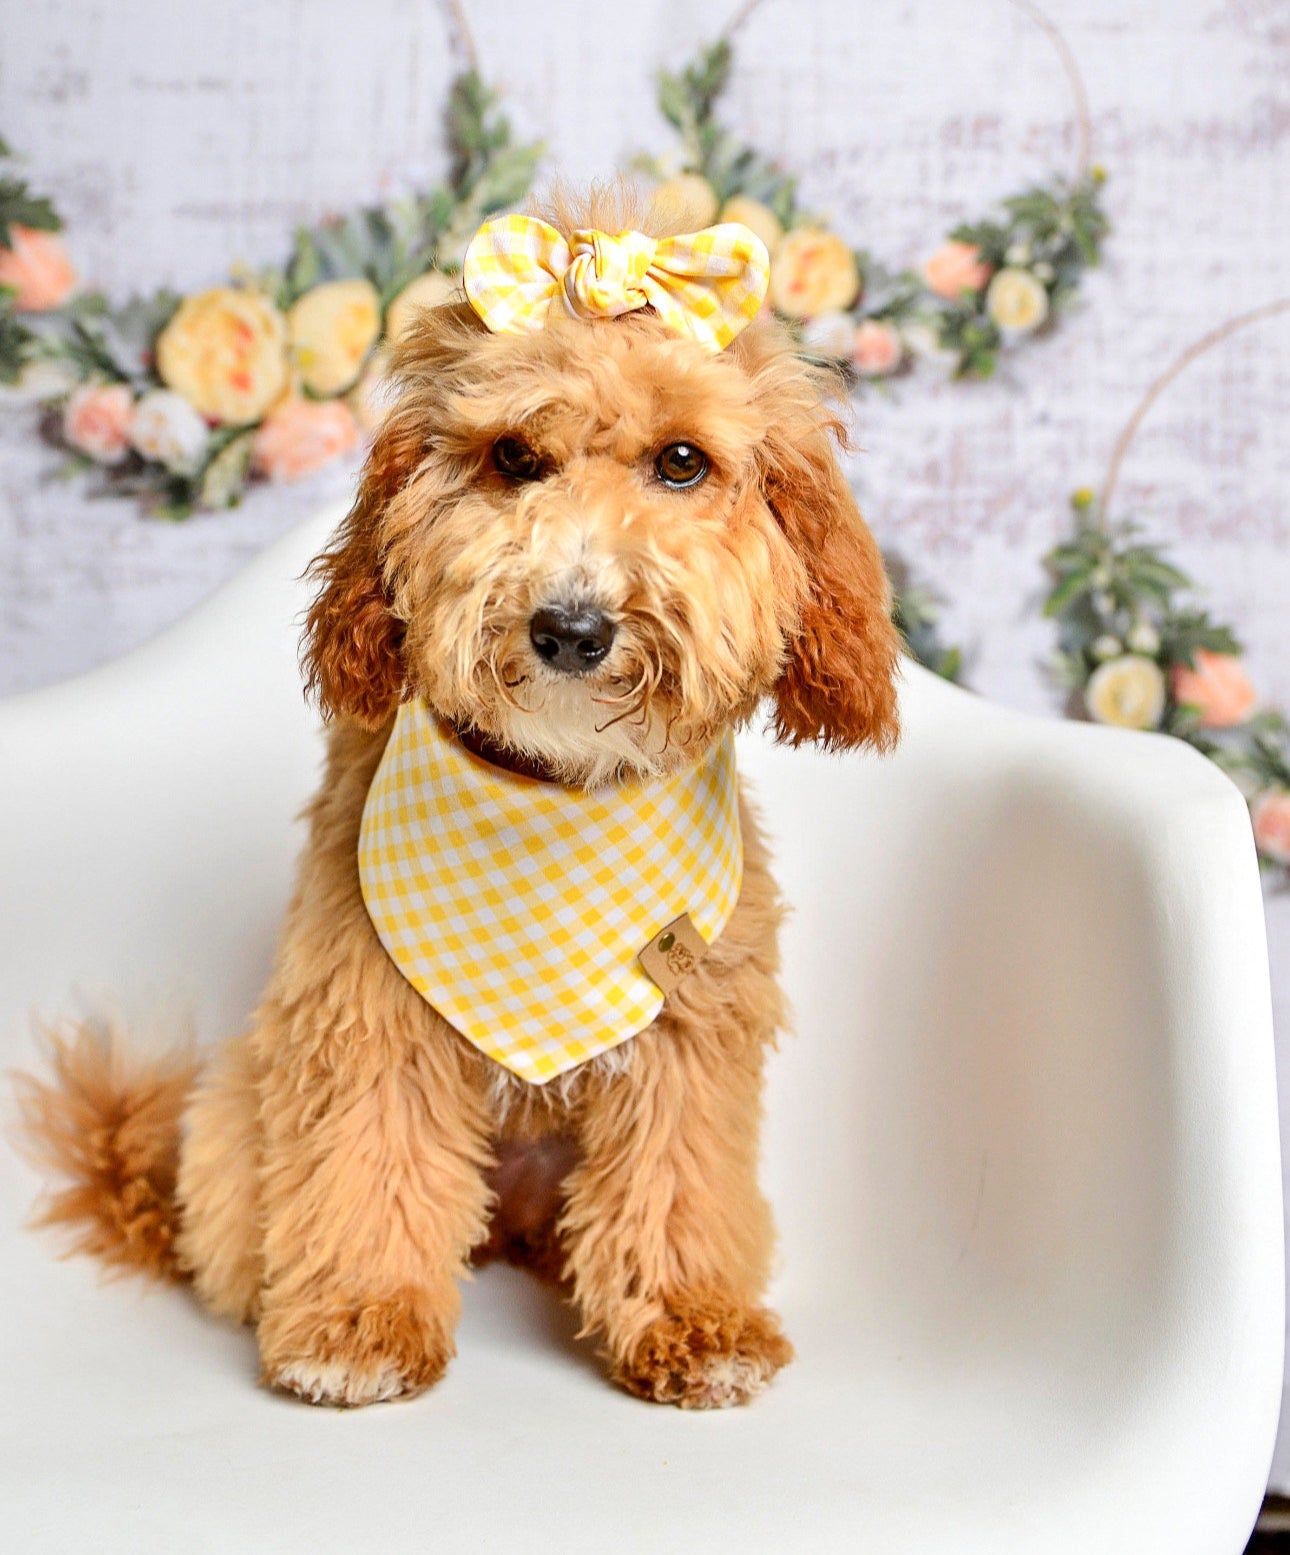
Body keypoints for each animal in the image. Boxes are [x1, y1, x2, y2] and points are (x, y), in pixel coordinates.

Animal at [15, 181, 901, 1411]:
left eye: (682, 462)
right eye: (514, 456)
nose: (571, 626)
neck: (555, 791)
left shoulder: (691, 1031)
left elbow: (676, 1179)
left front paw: (693, 1321)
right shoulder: (364, 1012)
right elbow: (367, 1167)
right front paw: (357, 1326)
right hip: (244, 1106)